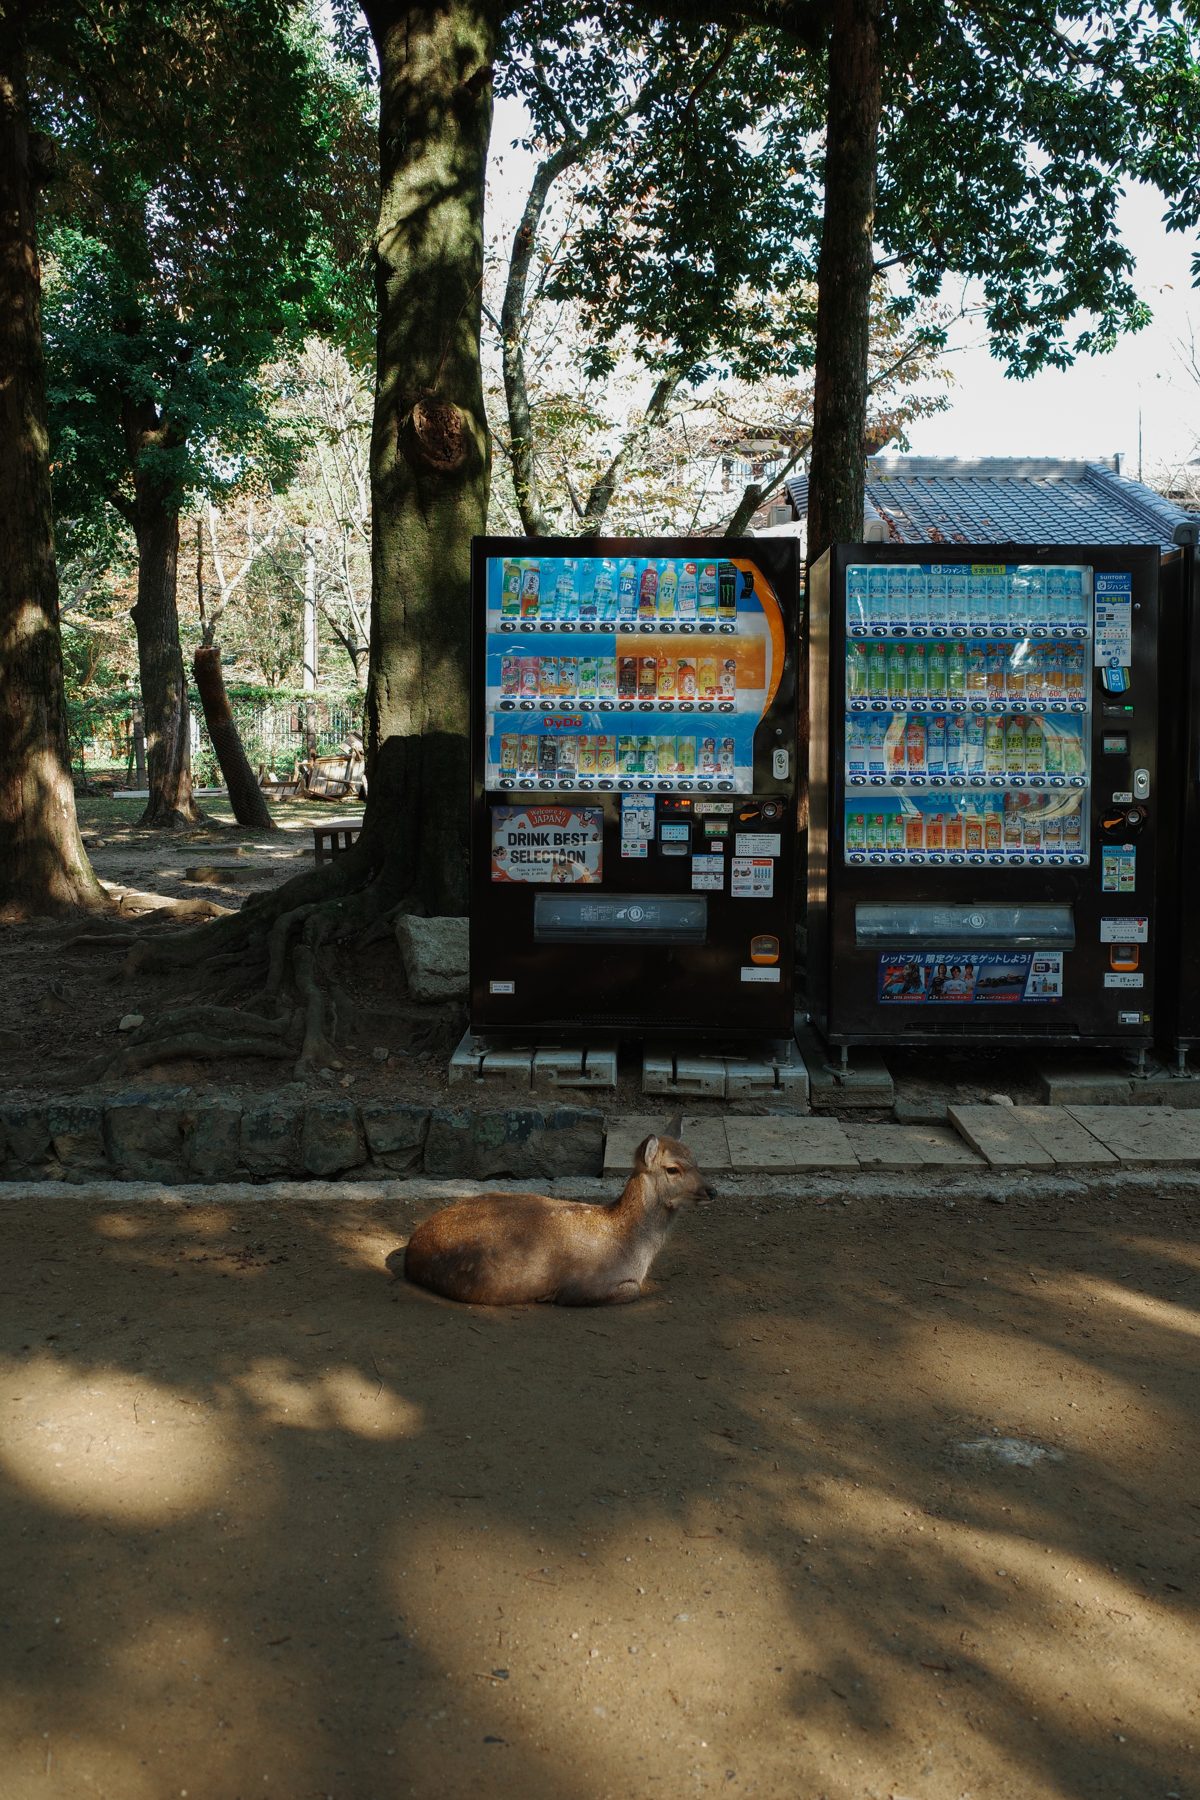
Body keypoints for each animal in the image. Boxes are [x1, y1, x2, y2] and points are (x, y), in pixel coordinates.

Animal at [395, 1126, 706, 1306]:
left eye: (697, 1160)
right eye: (673, 1169)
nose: (711, 1190)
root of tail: (411, 1251)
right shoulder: (581, 1287)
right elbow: (634, 1291)